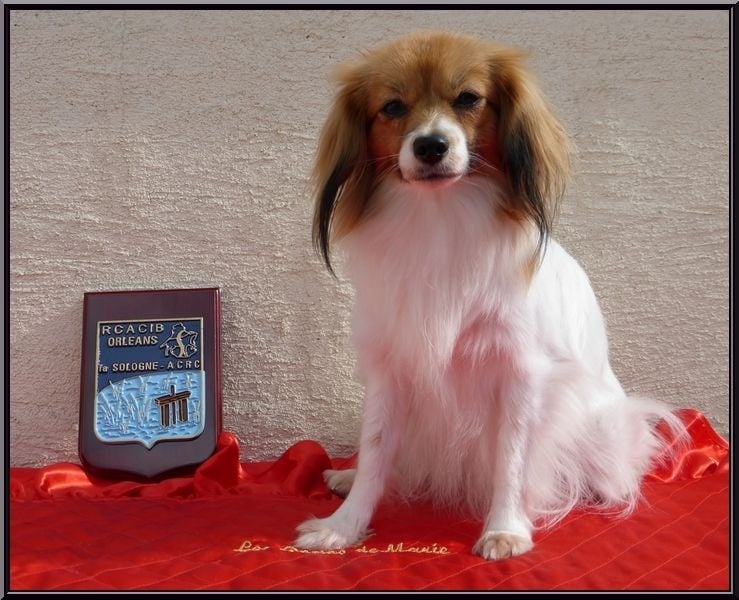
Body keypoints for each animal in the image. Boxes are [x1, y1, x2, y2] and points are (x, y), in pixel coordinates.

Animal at [295, 31, 683, 560]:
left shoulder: (520, 373)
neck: (440, 218)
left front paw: (506, 529)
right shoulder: (390, 369)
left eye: (468, 99)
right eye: (392, 107)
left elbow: (511, 459)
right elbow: (375, 450)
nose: (431, 145)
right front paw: (345, 525)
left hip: (601, 427)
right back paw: (347, 475)